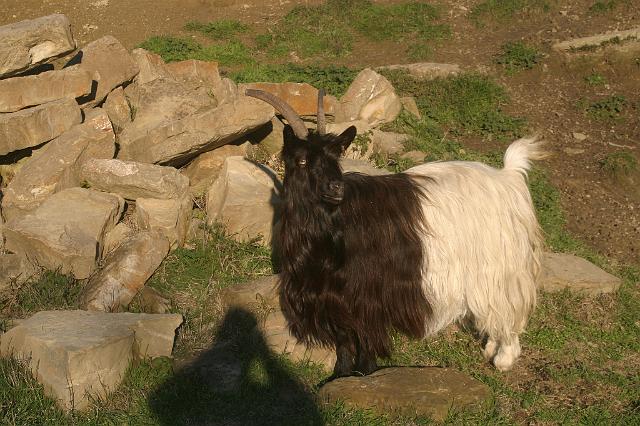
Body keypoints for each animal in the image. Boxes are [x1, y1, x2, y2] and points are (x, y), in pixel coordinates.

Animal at [246, 88, 544, 377]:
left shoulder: (368, 294)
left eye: (336, 158)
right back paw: (491, 348)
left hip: (498, 264)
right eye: (302, 160)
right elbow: (343, 339)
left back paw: (504, 358)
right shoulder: (333, 298)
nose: (336, 188)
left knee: (508, 309)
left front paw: (365, 373)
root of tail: (508, 178)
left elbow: (365, 338)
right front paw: (341, 374)